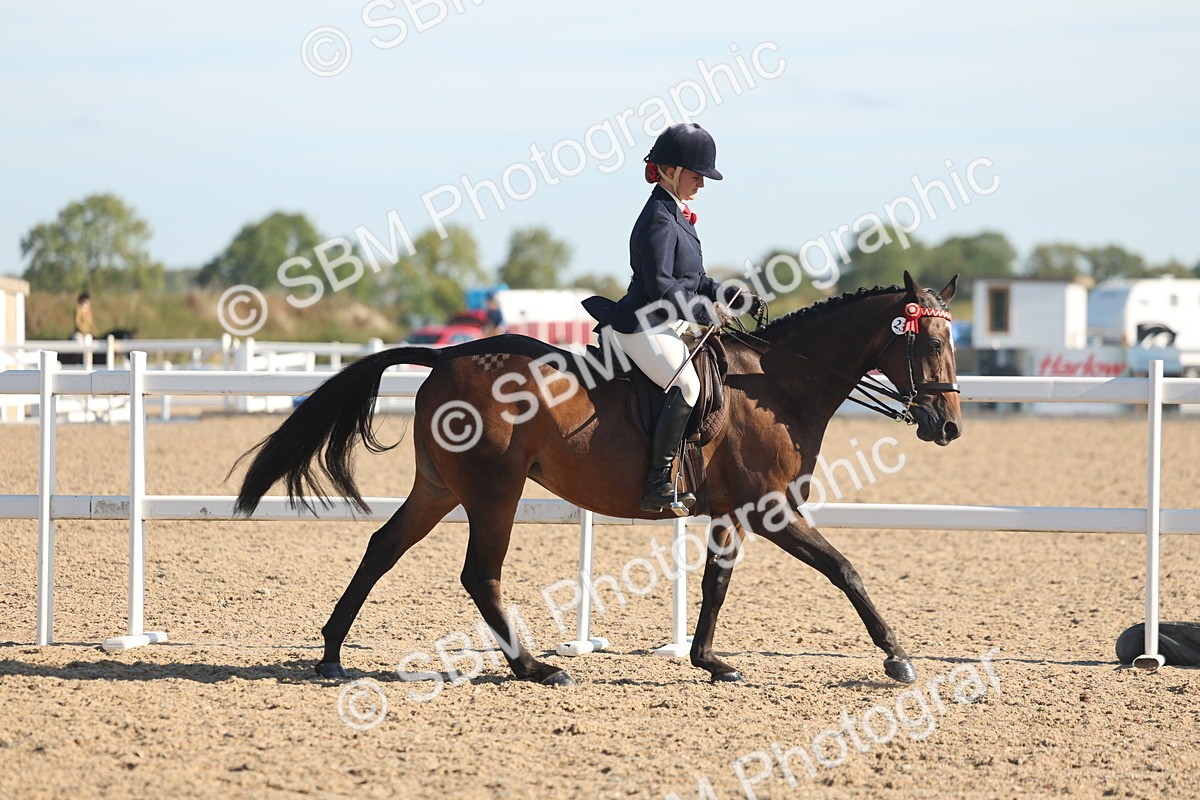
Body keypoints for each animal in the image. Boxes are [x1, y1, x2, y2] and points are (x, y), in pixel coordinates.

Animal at [233, 271, 963, 687]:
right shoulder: (771, 509)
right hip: (494, 491)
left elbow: (715, 585)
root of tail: (444, 355)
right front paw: (897, 658)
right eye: (929, 343)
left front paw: (709, 661)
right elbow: (846, 571)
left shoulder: (733, 513)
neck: (777, 385)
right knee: (479, 575)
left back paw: (331, 654)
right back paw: (534, 669)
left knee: (383, 547)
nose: (948, 425)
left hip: (440, 487)